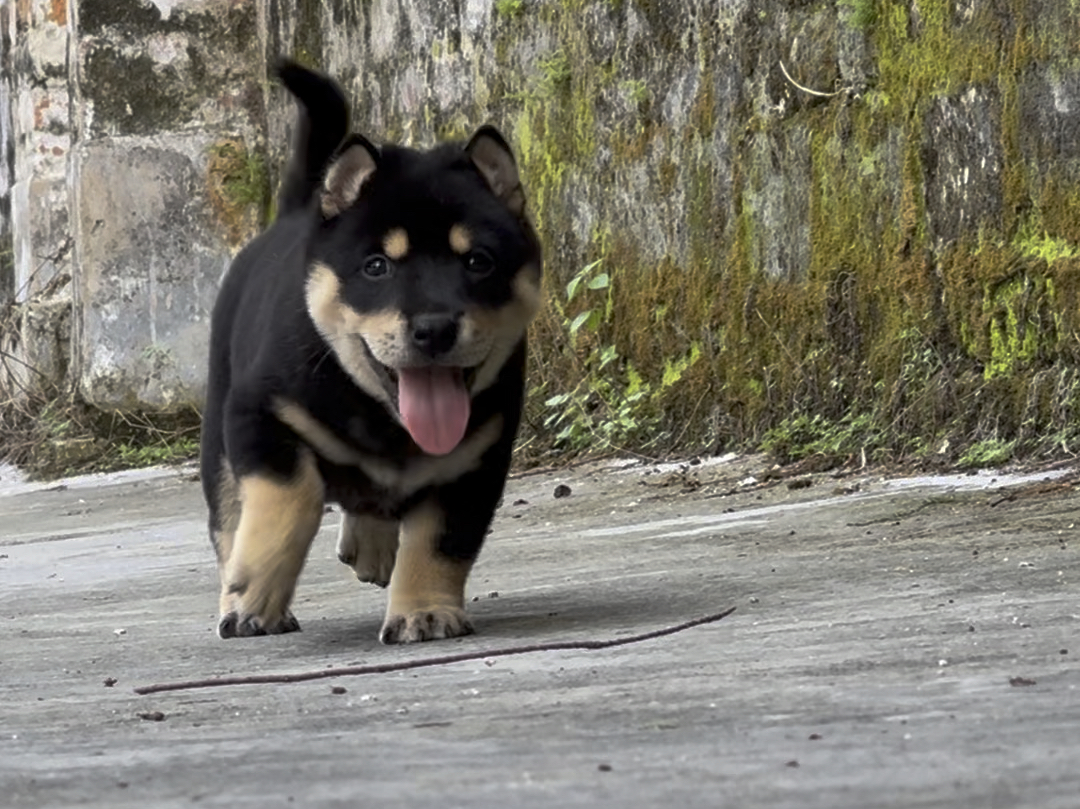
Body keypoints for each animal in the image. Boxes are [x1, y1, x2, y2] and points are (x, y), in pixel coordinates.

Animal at [197, 59, 540, 643]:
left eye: (478, 262)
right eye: (376, 266)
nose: (434, 328)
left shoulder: (475, 461)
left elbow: (439, 543)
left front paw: (425, 611)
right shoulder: (260, 417)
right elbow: (289, 502)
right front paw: (255, 597)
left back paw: (373, 548)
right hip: (217, 438)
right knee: (229, 521)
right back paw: (237, 598)